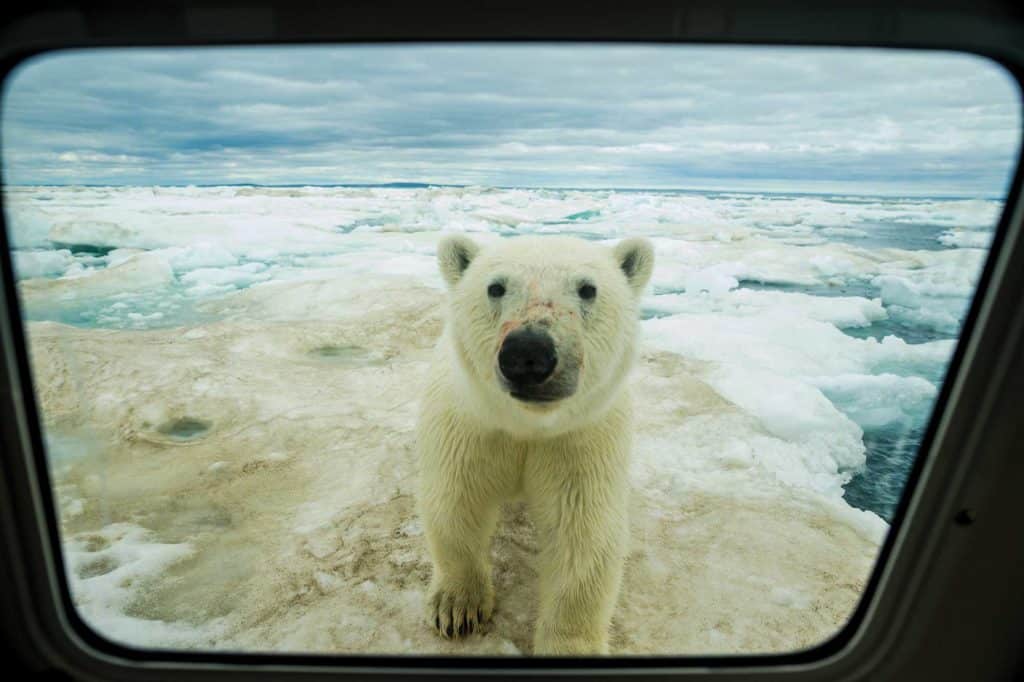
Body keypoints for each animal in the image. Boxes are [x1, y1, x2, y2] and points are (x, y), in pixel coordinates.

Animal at [417, 232, 651, 655]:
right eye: (495, 287)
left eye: (588, 289)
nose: (528, 353)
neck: (528, 425)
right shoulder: (470, 426)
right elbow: (456, 503)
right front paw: (457, 607)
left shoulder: (580, 440)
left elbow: (583, 534)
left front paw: (570, 648)